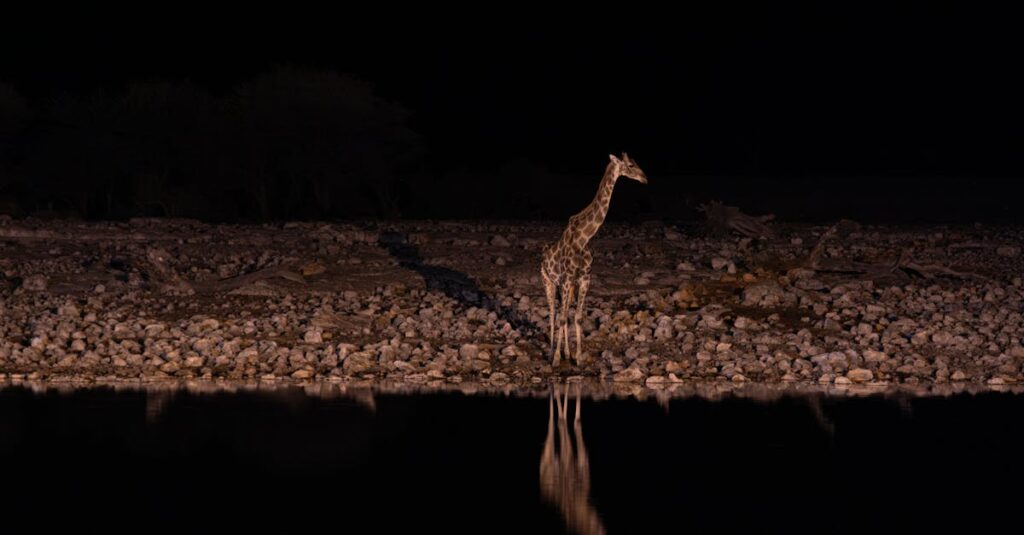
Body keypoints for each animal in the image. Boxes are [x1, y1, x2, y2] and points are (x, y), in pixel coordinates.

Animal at [541, 153, 648, 365]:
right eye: (630, 165)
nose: (644, 178)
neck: (584, 238)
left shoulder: (583, 279)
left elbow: (578, 317)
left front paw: (578, 357)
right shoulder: (566, 280)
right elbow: (561, 318)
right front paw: (556, 359)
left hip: (567, 287)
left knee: (565, 314)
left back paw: (566, 353)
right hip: (549, 282)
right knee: (553, 314)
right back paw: (551, 354)